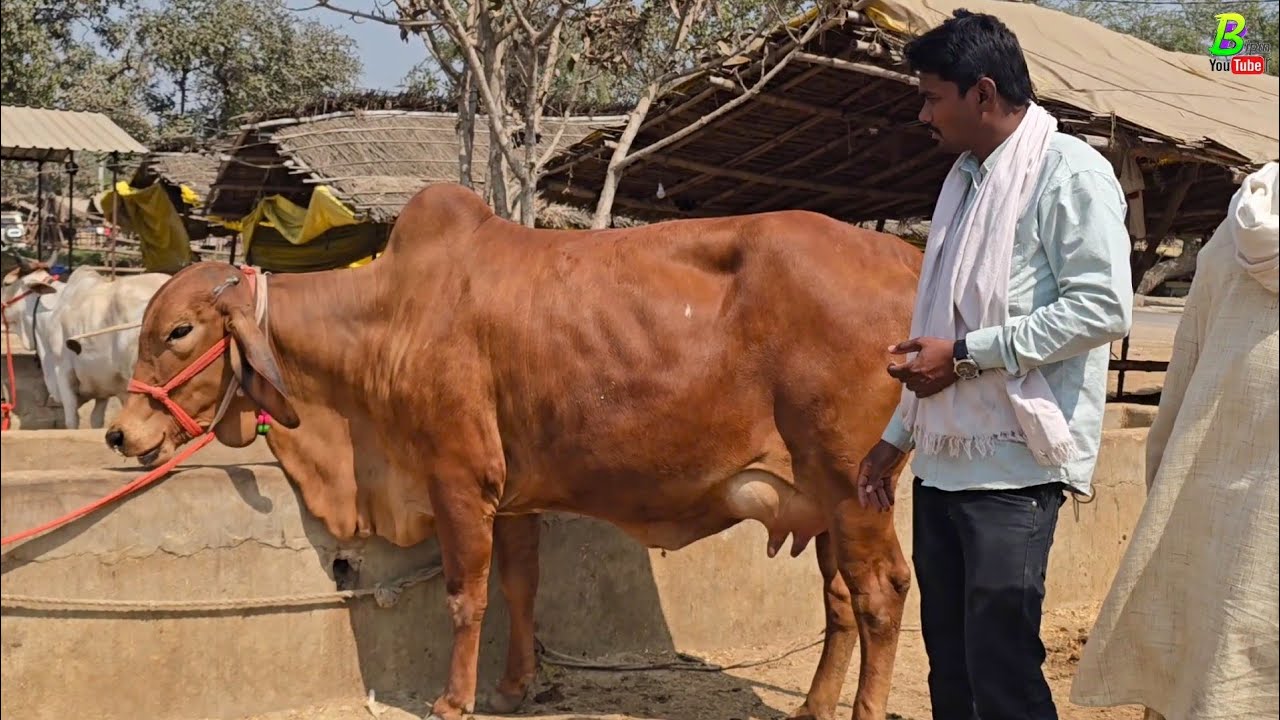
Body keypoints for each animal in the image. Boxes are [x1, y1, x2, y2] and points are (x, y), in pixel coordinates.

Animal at [106, 183, 923, 720]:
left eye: (178, 331)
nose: (122, 432)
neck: (385, 320)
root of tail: (903, 257)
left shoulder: (458, 479)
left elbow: (466, 595)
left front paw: (453, 699)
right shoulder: (515, 495)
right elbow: (521, 587)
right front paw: (513, 688)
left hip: (855, 487)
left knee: (881, 596)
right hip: (824, 502)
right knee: (841, 600)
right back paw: (813, 708)